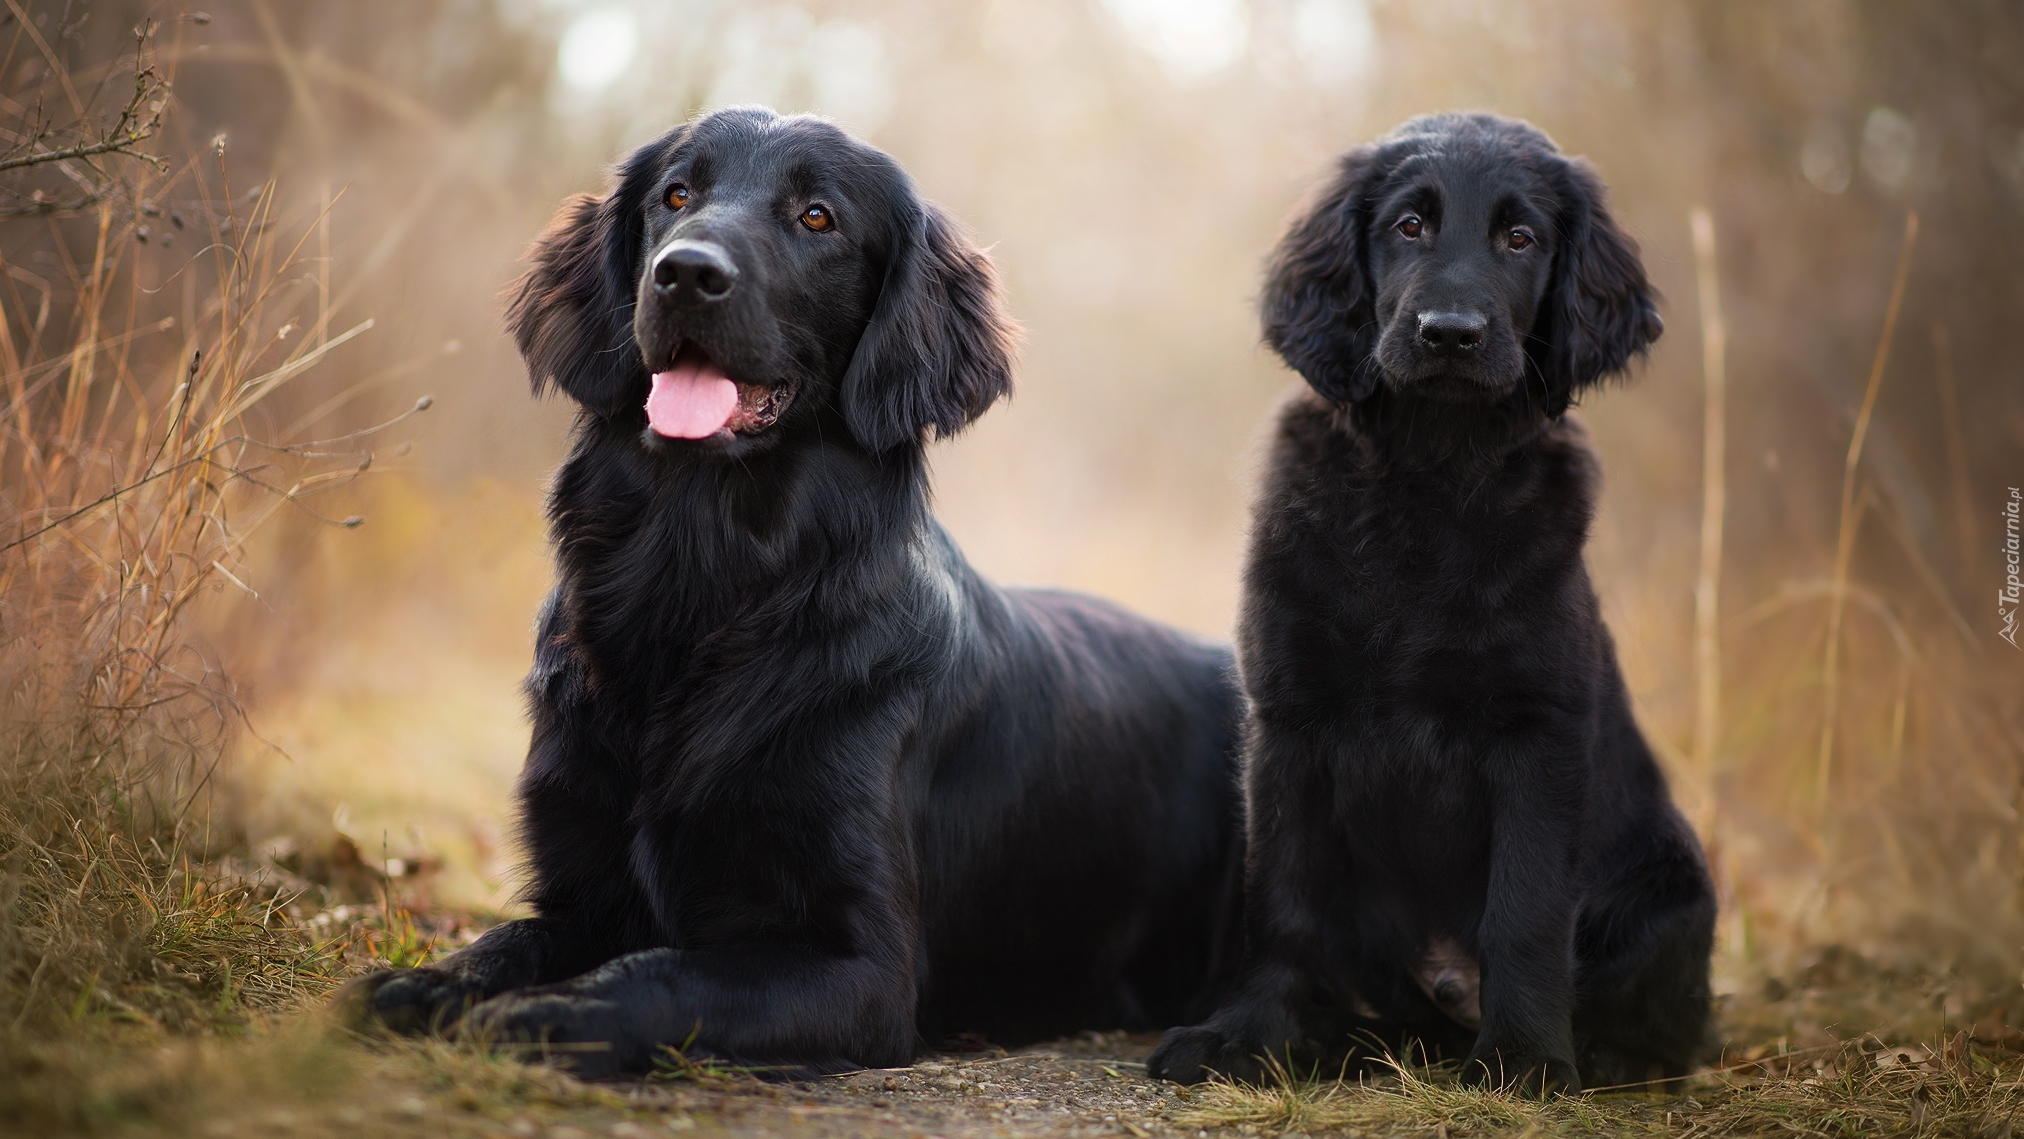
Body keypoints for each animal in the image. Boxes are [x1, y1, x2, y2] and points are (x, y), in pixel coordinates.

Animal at [340, 111, 1238, 1084]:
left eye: (817, 216)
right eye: (677, 195)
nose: (685, 272)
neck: (704, 583)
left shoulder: (865, 969)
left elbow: (663, 970)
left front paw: (545, 1015)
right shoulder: (582, 886)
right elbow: (508, 940)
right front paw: (429, 982)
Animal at [1149, 113, 1716, 1092]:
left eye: (1520, 238)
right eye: (1410, 226)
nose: (1450, 333)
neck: (1429, 476)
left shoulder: (1539, 731)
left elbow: (1524, 906)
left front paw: (1525, 1058)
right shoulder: (1288, 721)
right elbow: (1282, 898)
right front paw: (1248, 1036)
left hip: (1674, 887)